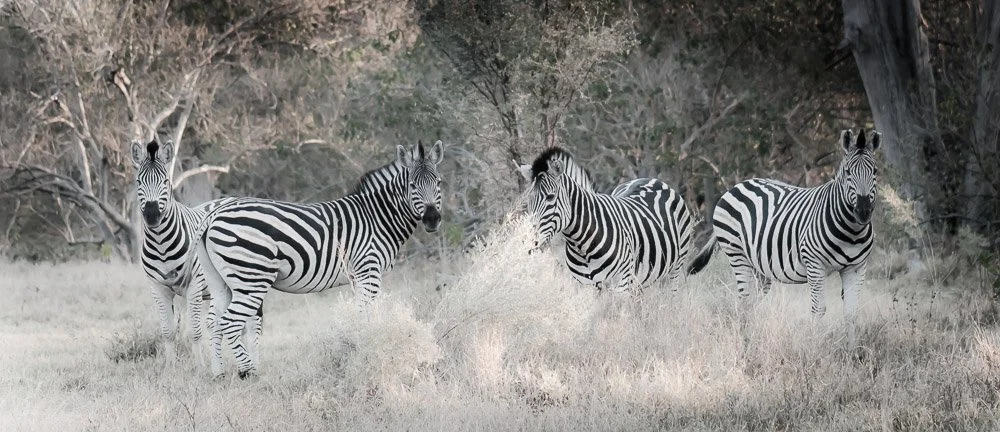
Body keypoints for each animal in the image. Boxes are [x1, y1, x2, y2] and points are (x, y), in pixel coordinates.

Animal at [130, 139, 261, 366]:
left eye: (166, 181)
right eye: (139, 182)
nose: (152, 215)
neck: (161, 244)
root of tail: (232, 199)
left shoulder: (194, 285)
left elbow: (195, 331)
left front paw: (199, 367)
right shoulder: (157, 287)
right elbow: (167, 331)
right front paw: (170, 368)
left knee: (250, 324)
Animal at [191, 140, 445, 378]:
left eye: (439, 183)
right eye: (412, 186)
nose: (432, 218)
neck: (376, 218)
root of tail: (214, 214)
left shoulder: (357, 276)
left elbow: (359, 315)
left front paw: (359, 345)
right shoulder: (369, 270)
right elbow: (366, 315)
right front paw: (368, 348)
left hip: (220, 281)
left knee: (214, 321)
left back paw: (218, 373)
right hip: (251, 278)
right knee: (230, 322)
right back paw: (248, 372)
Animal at [517, 147, 695, 293]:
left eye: (550, 197)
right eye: (529, 200)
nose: (530, 243)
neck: (582, 245)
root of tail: (653, 180)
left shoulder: (620, 284)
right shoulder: (583, 286)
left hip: (674, 269)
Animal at [688, 129, 880, 346]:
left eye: (875, 171)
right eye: (848, 172)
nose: (863, 211)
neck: (851, 232)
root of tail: (736, 186)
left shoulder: (856, 268)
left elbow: (851, 313)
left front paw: (852, 350)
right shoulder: (815, 264)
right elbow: (818, 309)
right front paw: (814, 347)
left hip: (760, 267)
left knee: (752, 302)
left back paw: (753, 339)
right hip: (737, 254)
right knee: (744, 302)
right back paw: (745, 342)